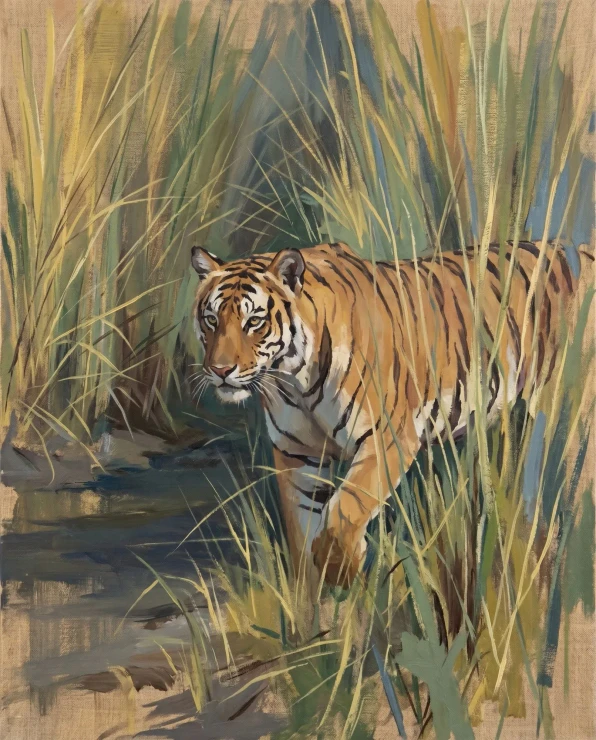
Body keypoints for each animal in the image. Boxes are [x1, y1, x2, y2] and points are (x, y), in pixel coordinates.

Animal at [190, 240, 594, 586]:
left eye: (254, 322)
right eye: (211, 320)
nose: (220, 370)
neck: (294, 379)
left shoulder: (388, 438)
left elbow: (345, 511)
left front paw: (344, 567)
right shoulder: (296, 454)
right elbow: (302, 531)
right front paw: (313, 604)